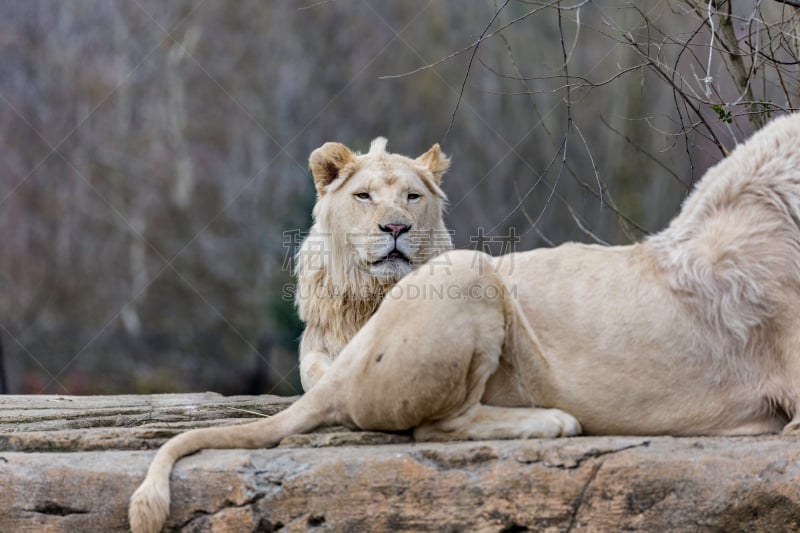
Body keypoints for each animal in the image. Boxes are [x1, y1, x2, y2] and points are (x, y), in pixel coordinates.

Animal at [128, 113, 800, 532]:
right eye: (364, 197)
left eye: (412, 198)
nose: (395, 227)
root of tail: (354, 360)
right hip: (474, 271)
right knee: (437, 427)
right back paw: (554, 422)